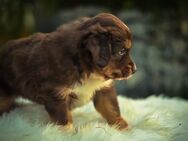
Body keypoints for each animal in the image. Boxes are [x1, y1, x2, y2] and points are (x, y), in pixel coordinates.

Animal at [0, 13, 137, 130]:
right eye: (121, 51)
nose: (135, 70)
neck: (86, 68)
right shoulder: (56, 94)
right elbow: (63, 117)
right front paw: (66, 132)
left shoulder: (103, 89)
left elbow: (111, 108)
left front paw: (121, 125)